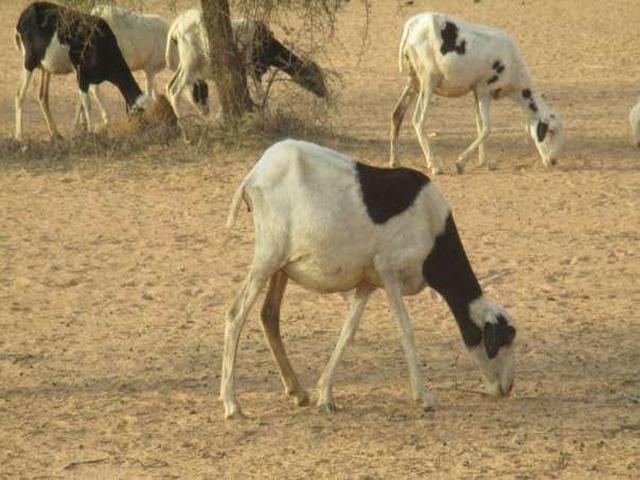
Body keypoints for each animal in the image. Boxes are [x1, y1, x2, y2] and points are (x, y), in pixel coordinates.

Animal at [14, 1, 151, 141]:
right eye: (140, 113)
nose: (143, 130)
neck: (103, 43)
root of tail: (26, 14)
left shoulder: (88, 79)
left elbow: (80, 104)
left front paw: (77, 130)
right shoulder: (82, 76)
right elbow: (87, 104)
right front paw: (89, 132)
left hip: (45, 67)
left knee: (42, 96)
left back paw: (56, 134)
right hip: (29, 61)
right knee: (20, 95)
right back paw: (19, 136)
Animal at [165, 8, 327, 116]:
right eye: (313, 76)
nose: (325, 93)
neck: (265, 43)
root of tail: (177, 26)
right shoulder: (255, 71)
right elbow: (262, 95)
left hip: (184, 65)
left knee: (170, 86)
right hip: (190, 63)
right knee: (174, 90)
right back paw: (183, 125)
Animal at [222, 139, 517, 419]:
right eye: (500, 341)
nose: (507, 388)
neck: (432, 228)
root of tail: (254, 175)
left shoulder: (368, 283)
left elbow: (348, 331)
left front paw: (325, 395)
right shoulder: (389, 272)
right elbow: (406, 330)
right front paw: (424, 397)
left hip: (282, 266)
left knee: (269, 315)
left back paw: (297, 391)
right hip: (268, 256)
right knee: (236, 314)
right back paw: (232, 404)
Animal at [389, 12, 565, 175]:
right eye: (551, 131)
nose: (554, 161)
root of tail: (411, 26)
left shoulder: (476, 92)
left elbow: (480, 126)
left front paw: (484, 162)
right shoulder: (484, 90)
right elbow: (487, 129)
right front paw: (460, 163)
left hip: (414, 81)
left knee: (397, 114)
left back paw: (394, 161)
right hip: (428, 80)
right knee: (418, 121)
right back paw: (434, 165)